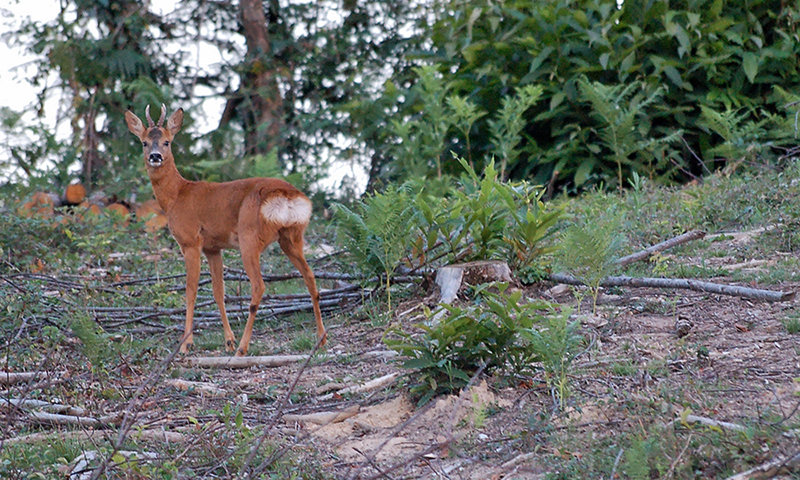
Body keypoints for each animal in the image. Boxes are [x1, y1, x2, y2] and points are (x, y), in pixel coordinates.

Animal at [125, 103, 324, 354]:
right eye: (144, 142)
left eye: (167, 141)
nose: (155, 156)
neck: (176, 196)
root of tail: (288, 195)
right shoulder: (213, 248)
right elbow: (219, 292)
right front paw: (228, 340)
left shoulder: (190, 240)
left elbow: (191, 291)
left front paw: (186, 343)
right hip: (292, 236)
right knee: (310, 276)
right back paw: (321, 338)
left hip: (249, 235)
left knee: (259, 286)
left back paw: (243, 348)